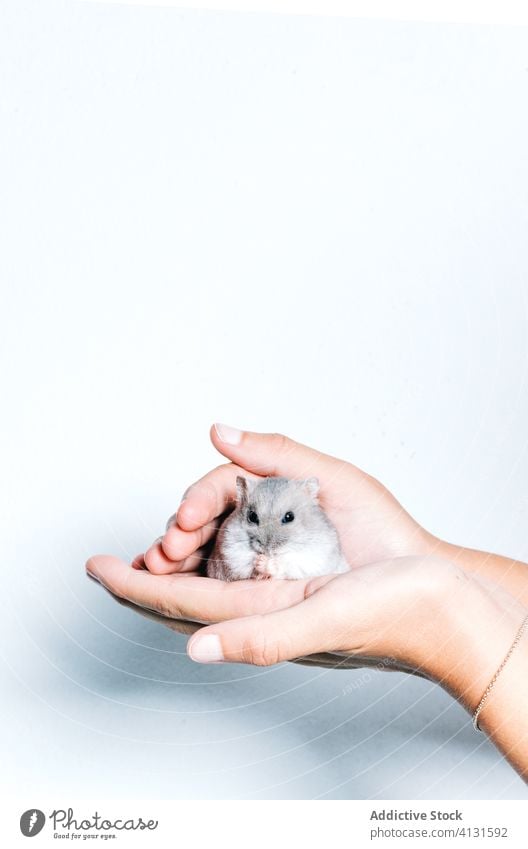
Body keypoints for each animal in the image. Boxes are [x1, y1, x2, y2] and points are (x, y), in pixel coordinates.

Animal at [206, 474, 350, 580]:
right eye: (252, 516)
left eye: (289, 517)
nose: (267, 549)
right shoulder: (230, 550)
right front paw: (259, 560)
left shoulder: (313, 556)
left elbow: (283, 564)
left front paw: (264, 561)